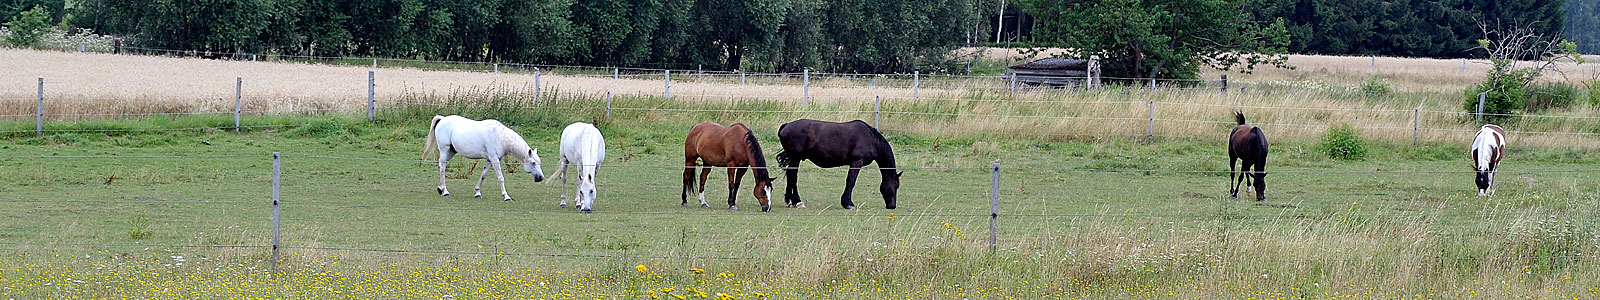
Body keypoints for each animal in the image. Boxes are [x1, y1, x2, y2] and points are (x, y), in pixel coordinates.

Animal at [774, 118, 902, 209]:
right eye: (896, 185)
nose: (892, 206)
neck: (870, 139)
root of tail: (786, 125)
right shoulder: (857, 162)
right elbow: (851, 181)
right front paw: (848, 203)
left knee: (790, 176)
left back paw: (790, 201)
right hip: (796, 158)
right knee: (793, 177)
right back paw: (797, 201)